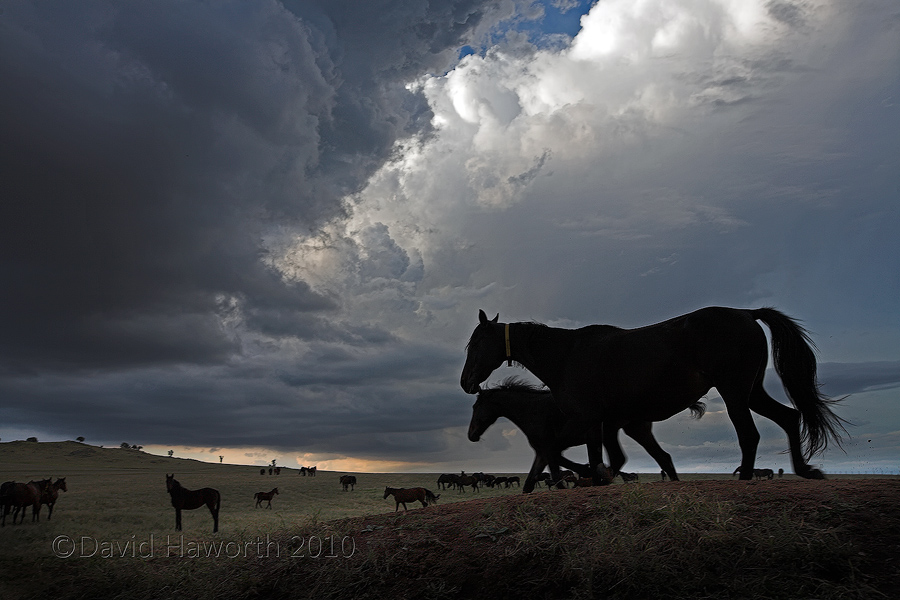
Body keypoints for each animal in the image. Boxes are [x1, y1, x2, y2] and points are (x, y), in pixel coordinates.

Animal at [460, 308, 848, 480]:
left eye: (475, 343)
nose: (466, 382)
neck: (566, 355)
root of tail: (746, 314)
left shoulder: (587, 419)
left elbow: (573, 455)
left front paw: (590, 477)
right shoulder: (602, 423)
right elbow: (598, 458)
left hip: (735, 391)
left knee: (749, 434)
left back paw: (747, 477)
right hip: (751, 391)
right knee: (790, 416)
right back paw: (805, 470)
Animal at [468, 380, 708, 492]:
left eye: (476, 406)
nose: (471, 435)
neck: (533, 411)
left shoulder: (549, 448)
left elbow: (557, 472)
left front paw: (584, 472)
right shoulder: (542, 453)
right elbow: (529, 484)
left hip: (613, 431)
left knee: (628, 458)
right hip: (636, 430)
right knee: (662, 457)